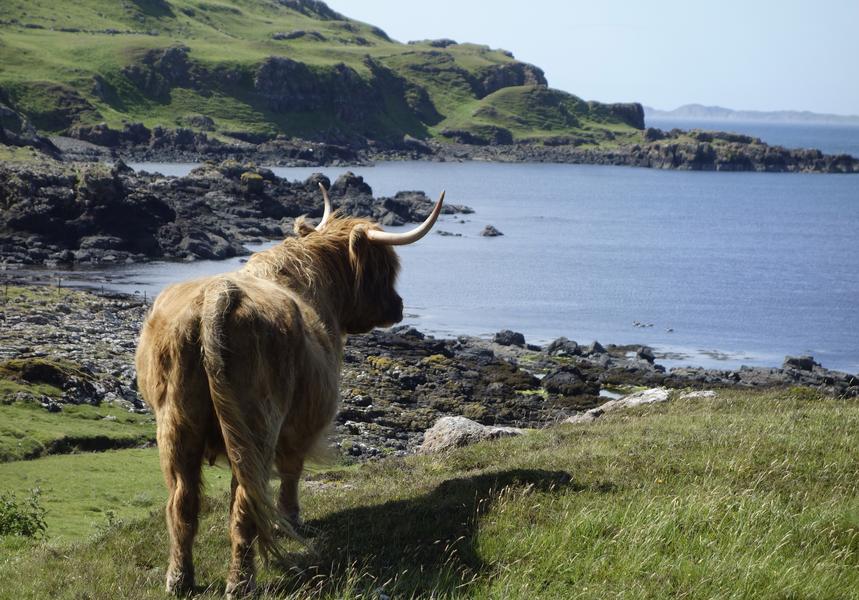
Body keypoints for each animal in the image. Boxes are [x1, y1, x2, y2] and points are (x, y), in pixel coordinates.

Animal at [135, 184, 444, 598]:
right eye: (385, 268)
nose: (397, 306)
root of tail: (219, 293)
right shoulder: (305, 424)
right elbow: (292, 472)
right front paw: (294, 520)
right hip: (258, 425)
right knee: (245, 505)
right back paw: (241, 582)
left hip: (175, 425)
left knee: (182, 504)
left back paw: (179, 579)